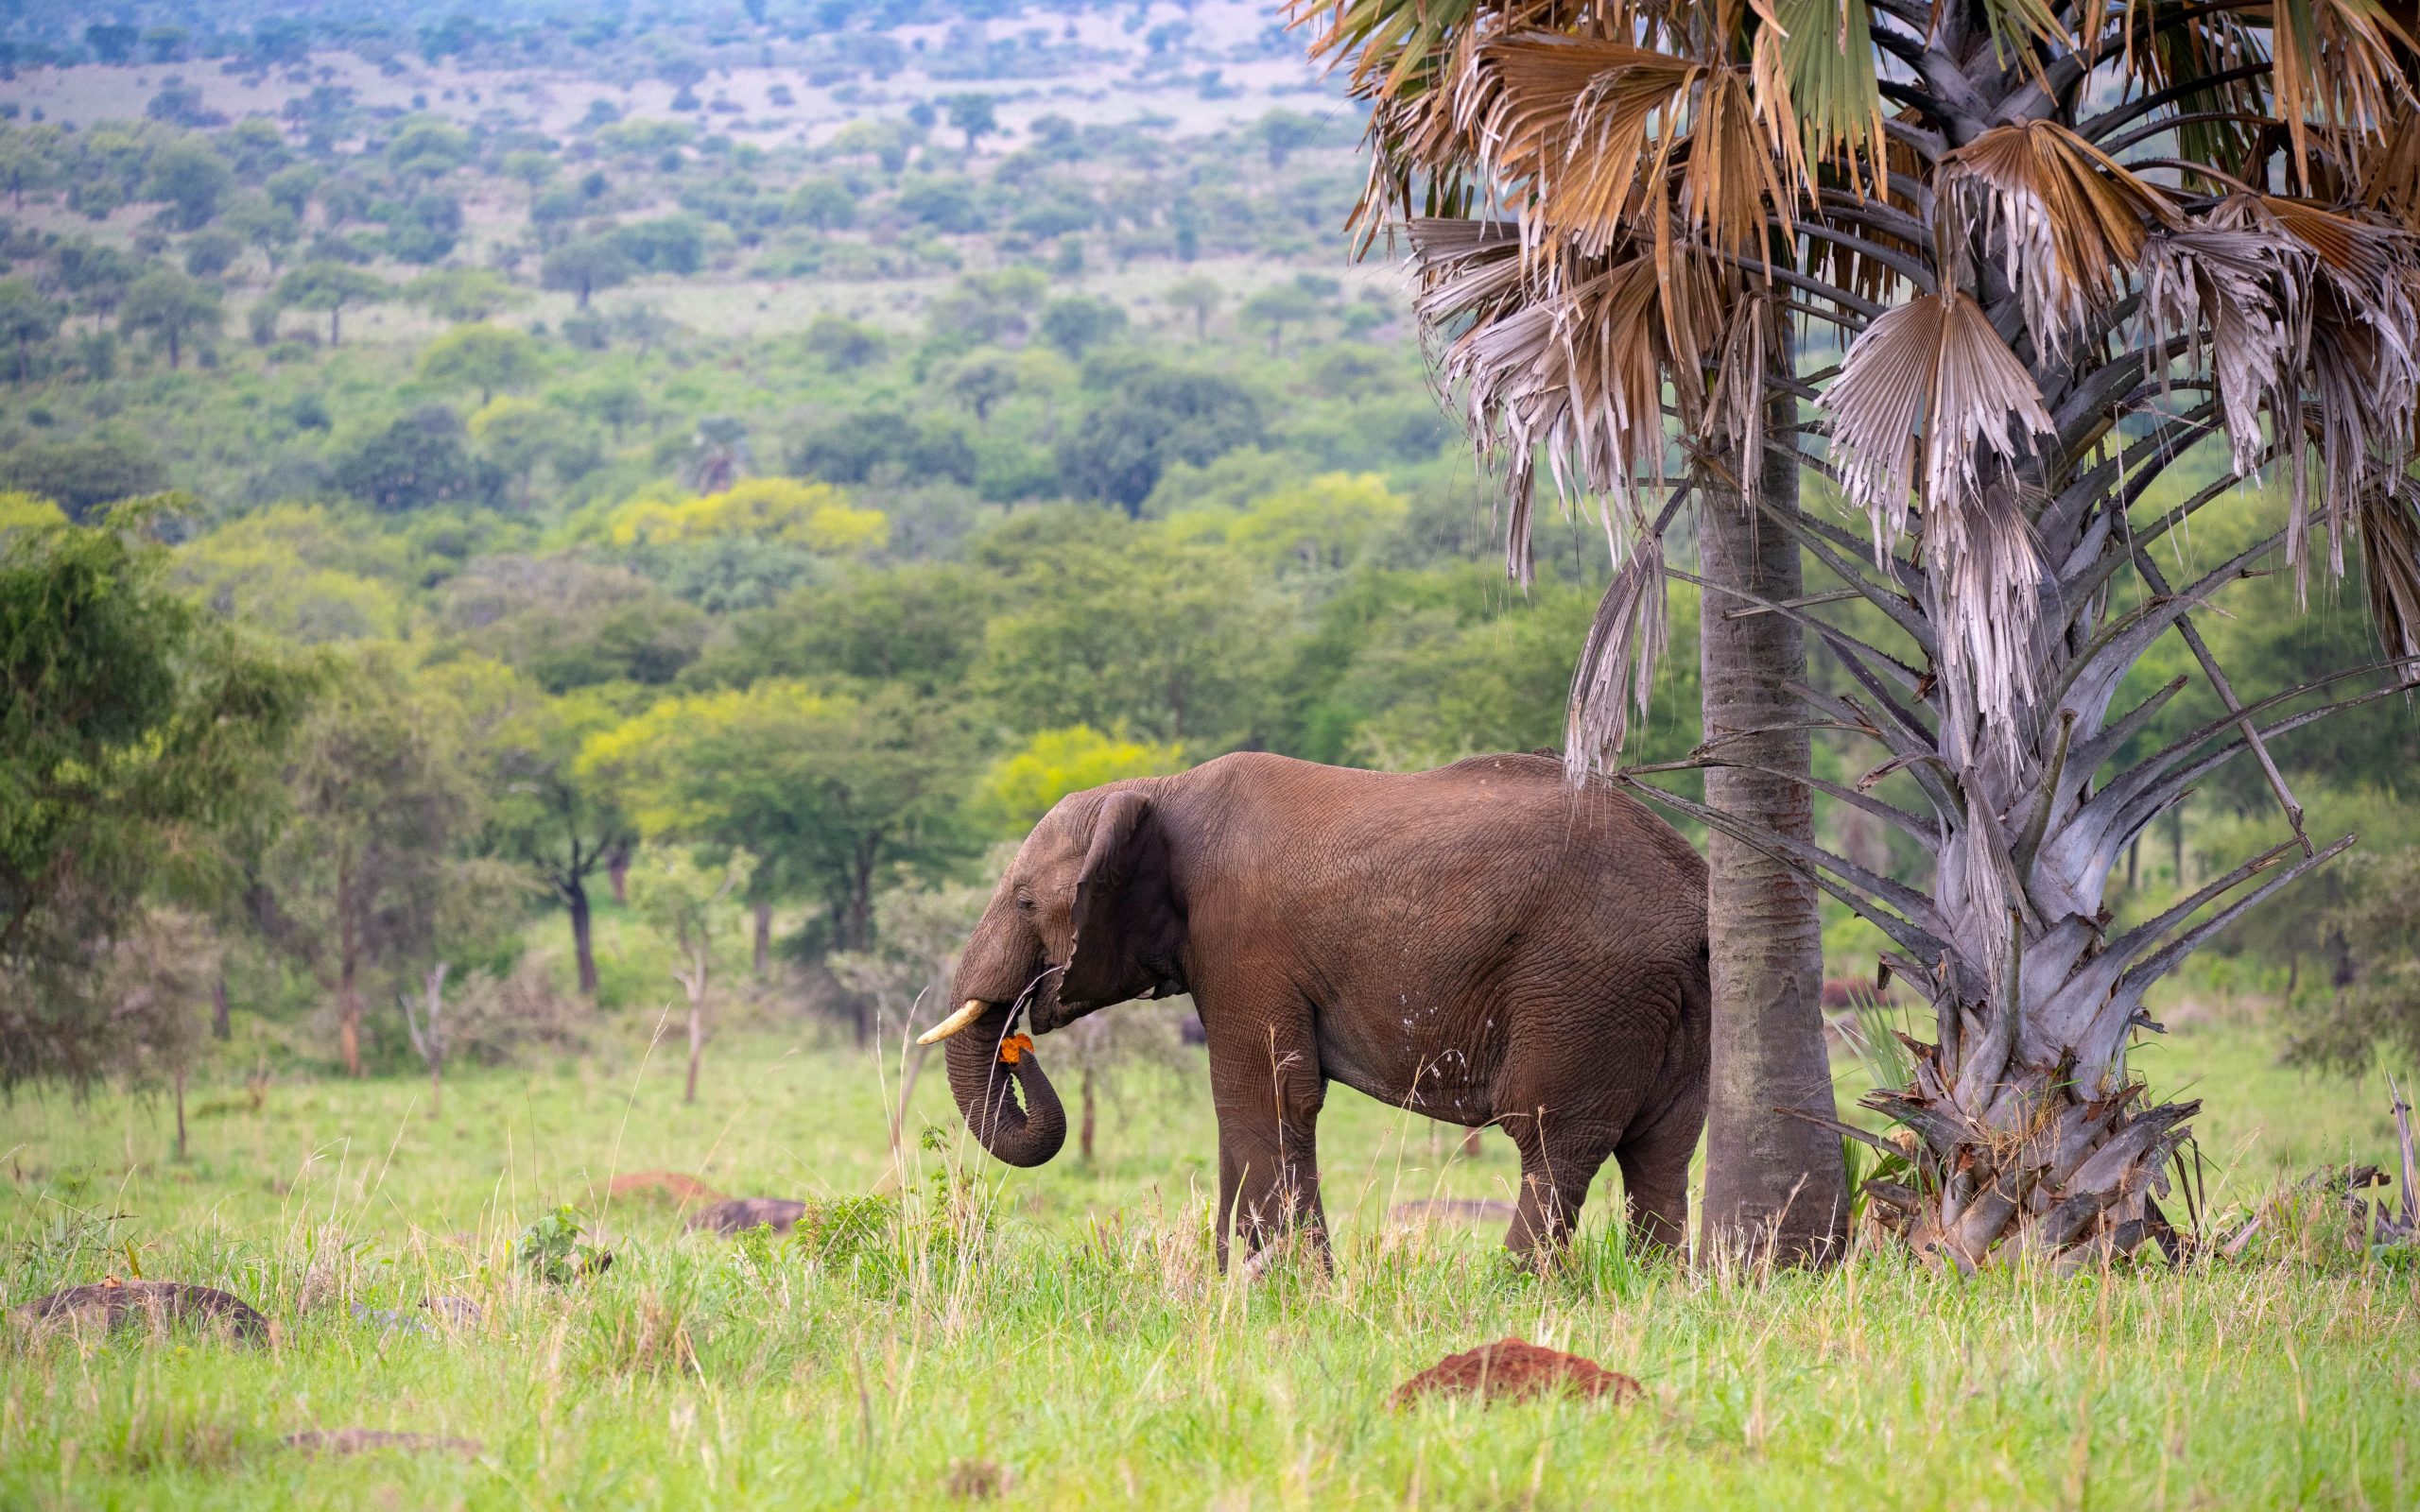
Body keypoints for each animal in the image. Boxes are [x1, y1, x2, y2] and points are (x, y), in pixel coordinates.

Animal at [914, 745, 1713, 1258]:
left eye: (1025, 902)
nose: (1019, 1041)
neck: (1157, 790)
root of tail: (1694, 891)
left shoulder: (1242, 941)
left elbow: (1264, 1094)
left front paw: (1288, 1288)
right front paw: (1237, 1283)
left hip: (1583, 987)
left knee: (1552, 1141)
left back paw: (1514, 1288)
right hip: (1673, 1001)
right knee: (1662, 1150)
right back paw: (1652, 1287)